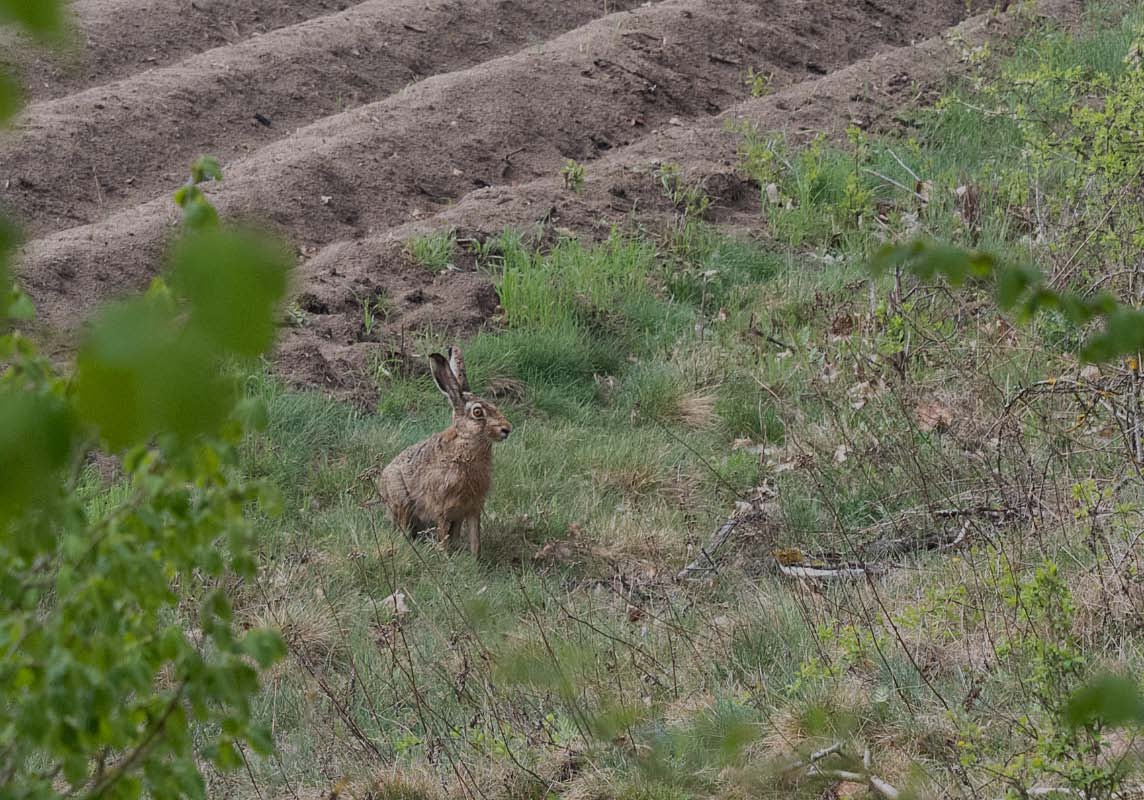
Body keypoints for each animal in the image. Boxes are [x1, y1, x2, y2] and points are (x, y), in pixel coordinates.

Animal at [377, 345, 512, 556]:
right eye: (477, 412)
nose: (507, 429)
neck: (466, 444)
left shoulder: (472, 508)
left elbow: (475, 538)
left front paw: (475, 559)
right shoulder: (442, 507)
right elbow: (442, 534)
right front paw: (445, 556)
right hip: (401, 500)